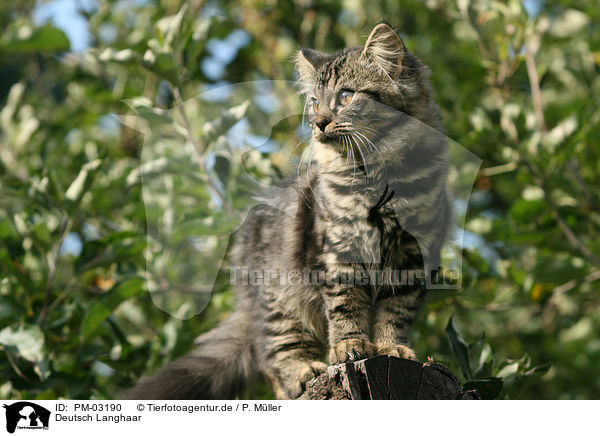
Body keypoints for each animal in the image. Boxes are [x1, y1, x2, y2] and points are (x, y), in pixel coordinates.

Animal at [123, 23, 450, 398]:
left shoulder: (411, 258)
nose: (319, 123)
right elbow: (346, 308)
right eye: (315, 102)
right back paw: (304, 372)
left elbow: (395, 314)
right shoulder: (338, 256)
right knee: (274, 354)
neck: (379, 177)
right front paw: (348, 347)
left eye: (345, 97)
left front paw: (390, 348)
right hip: (279, 299)